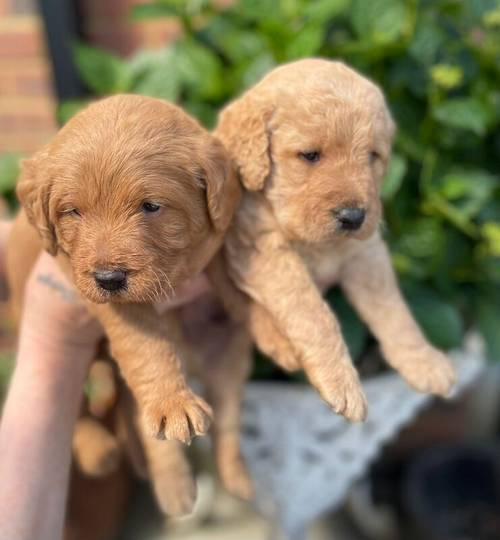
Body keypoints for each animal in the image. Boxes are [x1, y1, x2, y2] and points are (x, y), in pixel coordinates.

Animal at [209, 58, 456, 434]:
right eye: (310, 155)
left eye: (372, 156)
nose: (353, 217)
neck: (320, 245)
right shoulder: (264, 251)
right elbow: (314, 314)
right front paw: (342, 384)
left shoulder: (365, 255)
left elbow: (394, 310)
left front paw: (423, 361)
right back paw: (281, 345)